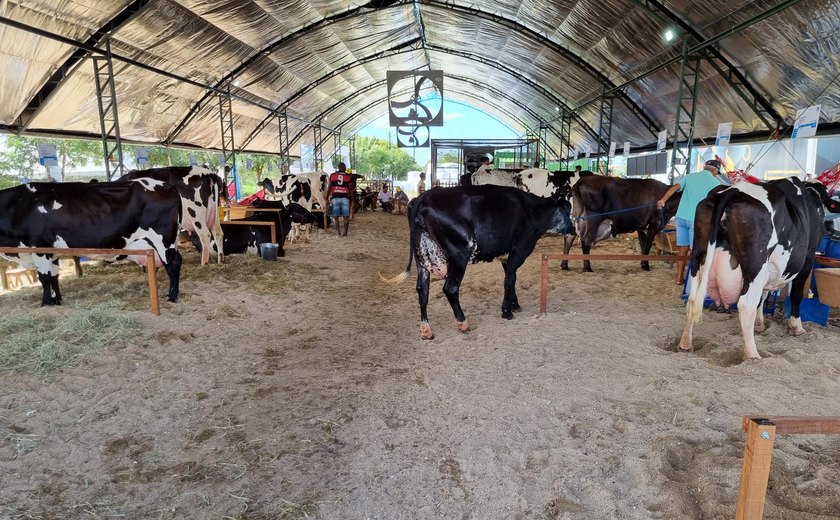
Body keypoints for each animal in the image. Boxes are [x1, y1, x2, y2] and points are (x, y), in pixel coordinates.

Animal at [0, 180, 183, 304]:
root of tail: (166, 186)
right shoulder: (53, 252)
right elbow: (54, 277)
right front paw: (57, 300)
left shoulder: (40, 247)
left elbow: (44, 278)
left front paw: (45, 303)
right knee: (178, 261)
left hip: (164, 240)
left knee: (172, 265)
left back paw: (172, 296)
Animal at [380, 185, 572, 340]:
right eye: (568, 209)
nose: (573, 229)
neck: (532, 211)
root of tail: (424, 196)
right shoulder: (519, 251)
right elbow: (509, 280)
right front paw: (507, 311)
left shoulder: (506, 256)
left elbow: (512, 279)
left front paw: (515, 304)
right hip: (458, 255)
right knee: (450, 289)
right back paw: (463, 323)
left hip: (423, 258)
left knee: (422, 290)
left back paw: (426, 330)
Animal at [680, 177, 836, 360]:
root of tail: (733, 190)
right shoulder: (808, 258)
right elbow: (796, 295)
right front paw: (796, 326)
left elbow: (763, 295)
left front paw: (759, 324)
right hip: (756, 264)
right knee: (746, 305)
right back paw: (752, 354)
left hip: (698, 258)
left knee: (692, 299)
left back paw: (686, 343)